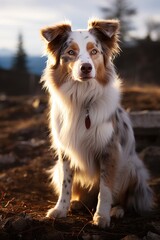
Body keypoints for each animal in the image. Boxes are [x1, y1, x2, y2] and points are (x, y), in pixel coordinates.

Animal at [40, 18, 154, 229]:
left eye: (94, 51)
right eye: (71, 52)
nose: (86, 67)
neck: (82, 99)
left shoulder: (110, 150)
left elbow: (106, 188)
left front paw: (102, 216)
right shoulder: (65, 152)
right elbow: (66, 184)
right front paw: (61, 209)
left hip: (131, 167)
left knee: (122, 198)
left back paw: (116, 210)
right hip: (56, 169)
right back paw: (76, 204)